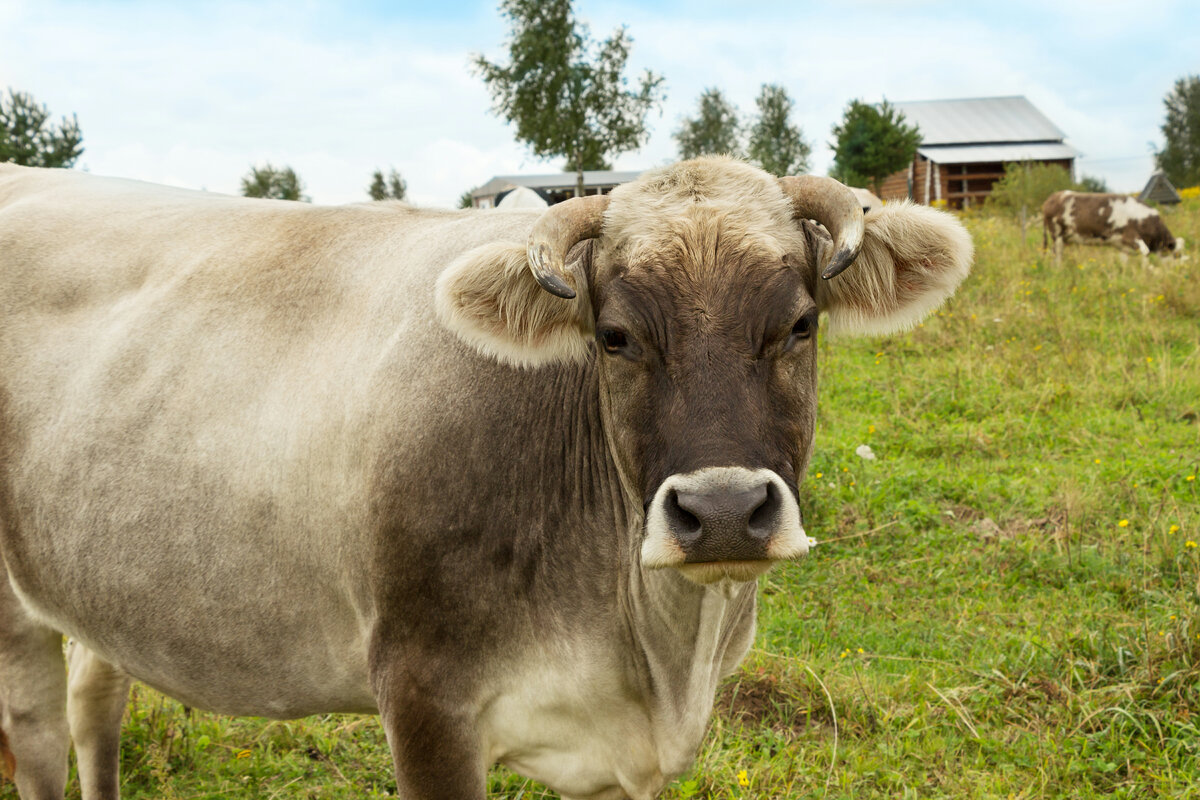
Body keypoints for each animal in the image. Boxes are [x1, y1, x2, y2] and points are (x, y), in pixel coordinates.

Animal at [0, 155, 974, 800]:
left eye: (801, 324)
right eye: (613, 336)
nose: (726, 510)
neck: (658, 656)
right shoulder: (424, 698)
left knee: (96, 701)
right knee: (40, 732)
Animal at [1041, 188, 1180, 261]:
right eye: (1177, 255)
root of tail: (1051, 198)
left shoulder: (1122, 245)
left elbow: (1125, 261)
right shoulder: (1130, 235)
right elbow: (1145, 251)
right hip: (1057, 235)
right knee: (1057, 255)